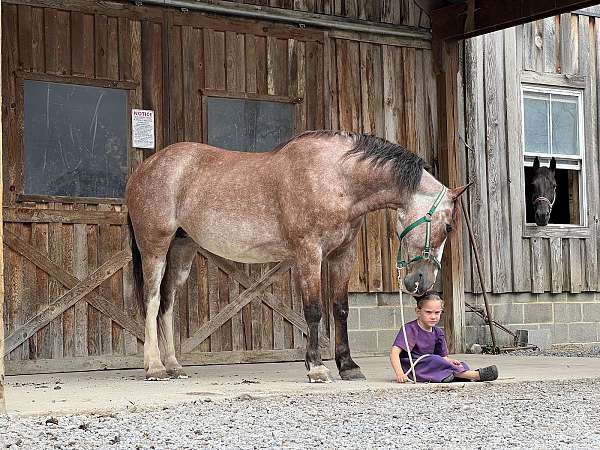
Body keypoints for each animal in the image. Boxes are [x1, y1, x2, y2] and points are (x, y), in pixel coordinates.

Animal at [124, 130, 466, 384]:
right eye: (448, 226)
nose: (422, 282)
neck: (337, 177)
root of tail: (145, 168)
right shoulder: (309, 253)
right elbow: (313, 310)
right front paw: (316, 368)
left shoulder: (342, 255)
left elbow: (340, 309)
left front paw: (348, 366)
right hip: (155, 248)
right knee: (152, 300)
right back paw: (155, 368)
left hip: (182, 250)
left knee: (167, 304)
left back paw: (174, 366)